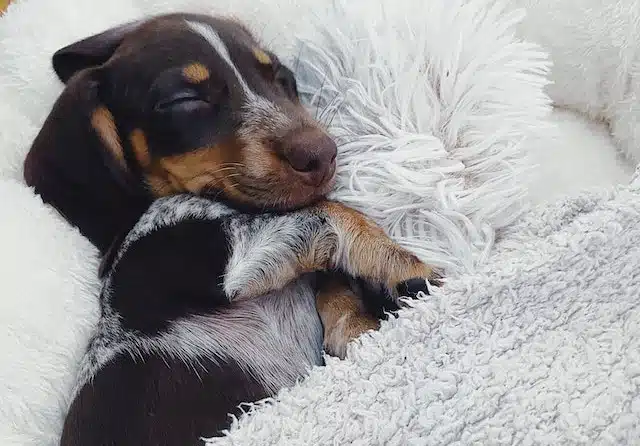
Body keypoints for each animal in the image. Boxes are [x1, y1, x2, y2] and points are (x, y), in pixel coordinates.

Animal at [21, 12, 440, 444]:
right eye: (184, 100)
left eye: (282, 79)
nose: (324, 155)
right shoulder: (218, 261)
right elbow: (325, 212)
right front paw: (398, 264)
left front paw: (359, 316)